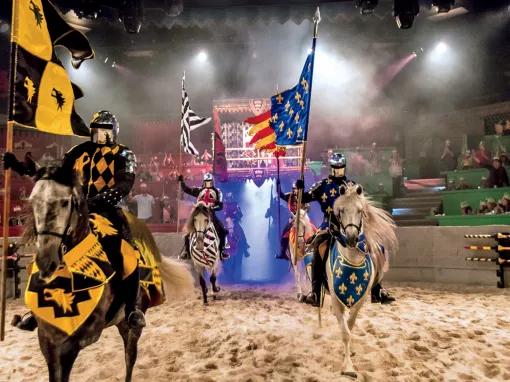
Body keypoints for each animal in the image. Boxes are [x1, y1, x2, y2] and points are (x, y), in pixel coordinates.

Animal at [22, 168, 193, 382]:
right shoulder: (48, 341)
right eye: (33, 201)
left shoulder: (79, 339)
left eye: (65, 202)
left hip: (131, 325)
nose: (46, 259)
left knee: (130, 357)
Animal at [322, 184, 398, 378]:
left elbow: (350, 326)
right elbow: (345, 332)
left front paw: (349, 356)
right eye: (341, 211)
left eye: (360, 211)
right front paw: (348, 367)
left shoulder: (360, 300)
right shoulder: (336, 299)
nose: (351, 238)